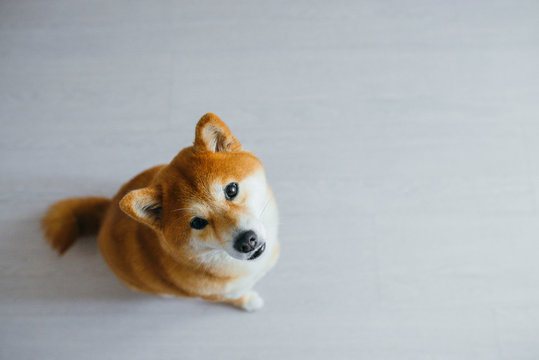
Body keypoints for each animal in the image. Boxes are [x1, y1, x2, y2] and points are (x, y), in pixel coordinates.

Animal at [41, 114, 278, 310]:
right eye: (197, 222)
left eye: (231, 190)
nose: (246, 241)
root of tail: (107, 211)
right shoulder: (216, 295)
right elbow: (235, 297)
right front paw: (249, 302)